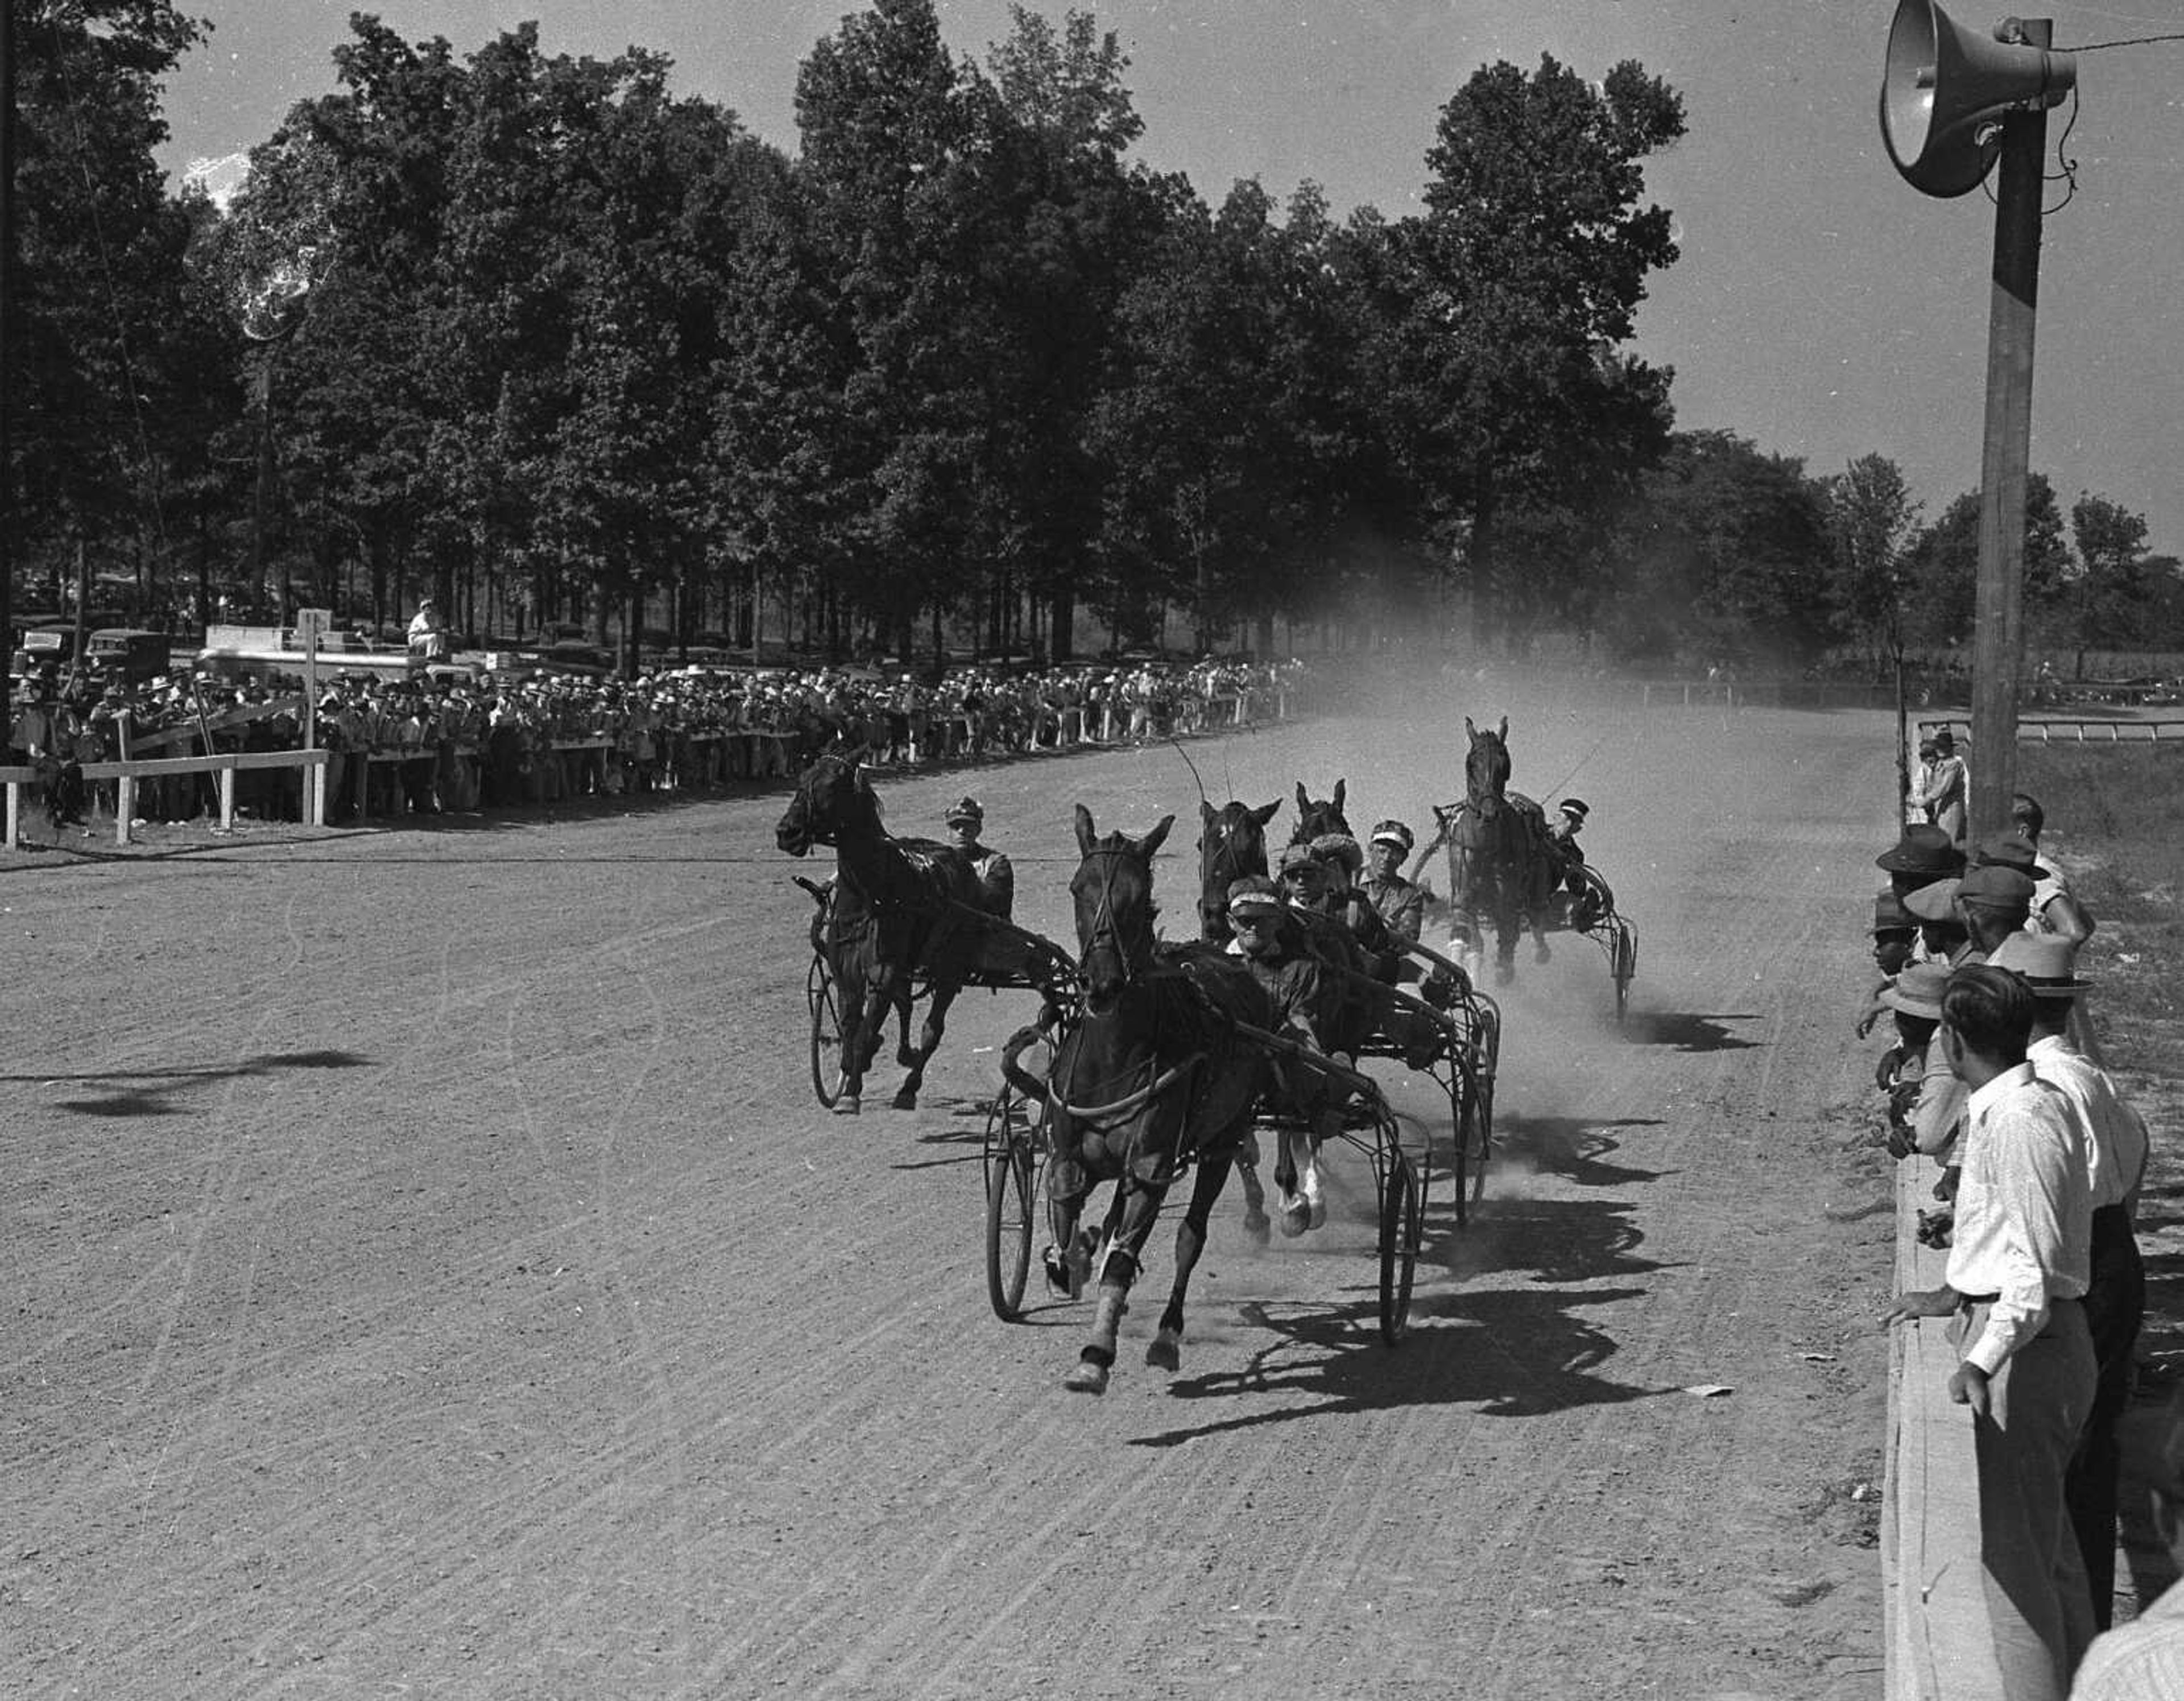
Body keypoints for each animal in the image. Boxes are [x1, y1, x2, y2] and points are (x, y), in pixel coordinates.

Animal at [777, 751, 983, 1109]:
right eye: (802, 780)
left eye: (833, 784)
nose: (787, 831)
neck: (870, 894)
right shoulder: (845, 970)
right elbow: (851, 1026)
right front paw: (852, 1068)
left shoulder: (884, 972)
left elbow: (867, 1027)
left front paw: (852, 1091)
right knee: (906, 1006)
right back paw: (900, 1053)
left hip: (950, 967)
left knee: (933, 1028)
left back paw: (909, 1087)